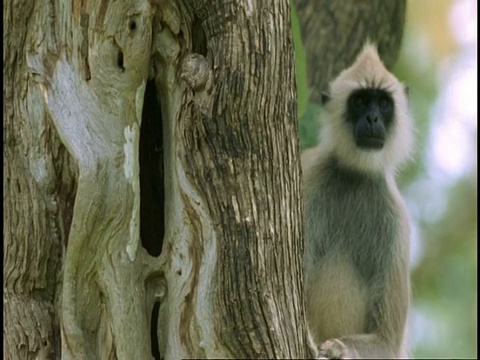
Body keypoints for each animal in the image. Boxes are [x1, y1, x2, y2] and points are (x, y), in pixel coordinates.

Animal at [304, 43, 412, 358]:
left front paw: (339, 350)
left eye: (383, 104)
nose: (372, 118)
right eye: (361, 101)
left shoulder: (396, 221)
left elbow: (386, 343)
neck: (355, 175)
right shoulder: (308, 180)